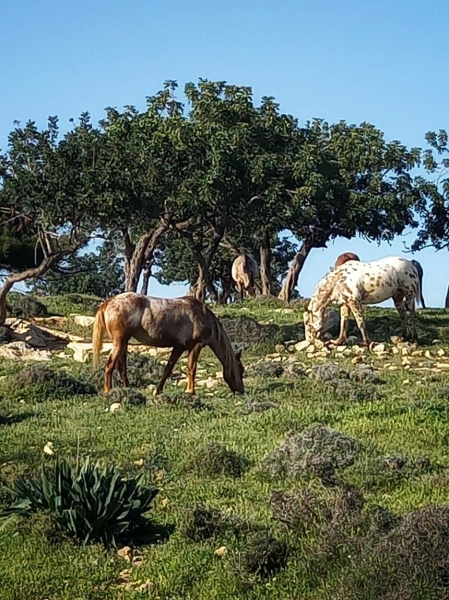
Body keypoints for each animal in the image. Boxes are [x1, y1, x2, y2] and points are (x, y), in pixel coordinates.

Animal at [92, 292, 245, 396]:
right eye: (240, 370)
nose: (241, 391)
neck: (202, 315)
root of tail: (108, 302)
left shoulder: (179, 347)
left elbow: (168, 369)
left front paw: (157, 391)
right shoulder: (196, 346)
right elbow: (192, 368)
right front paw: (191, 391)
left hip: (124, 342)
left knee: (121, 366)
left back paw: (127, 388)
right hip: (120, 342)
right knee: (110, 364)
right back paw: (108, 390)